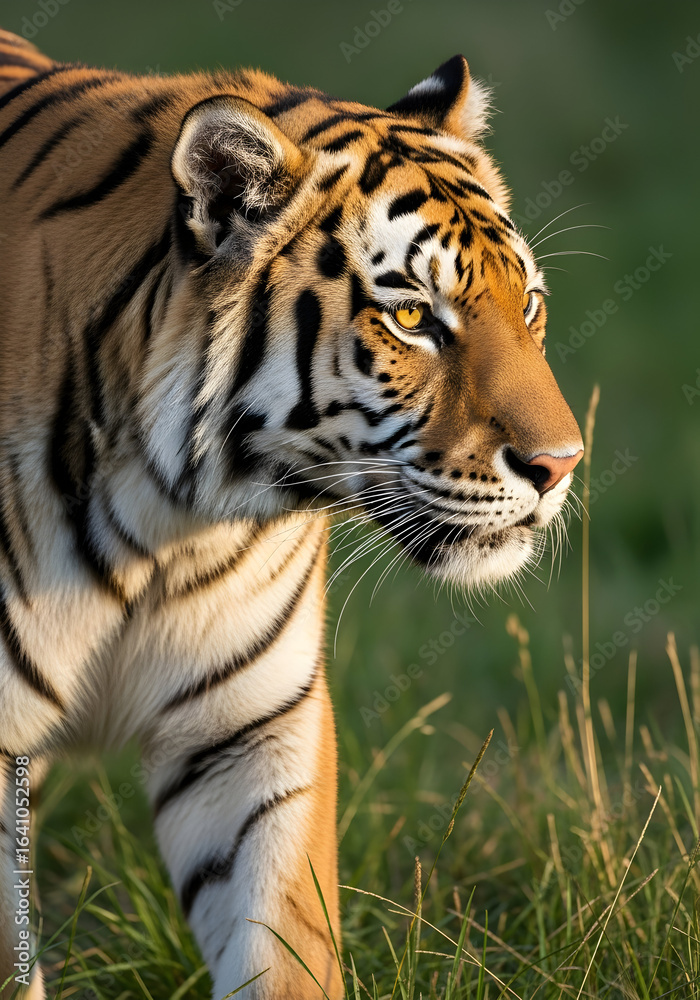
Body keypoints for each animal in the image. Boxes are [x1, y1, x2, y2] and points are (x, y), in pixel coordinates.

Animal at [0, 26, 583, 1000]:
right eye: (413, 317)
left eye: (528, 303)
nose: (561, 465)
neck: (163, 523)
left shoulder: (252, 734)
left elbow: (285, 949)